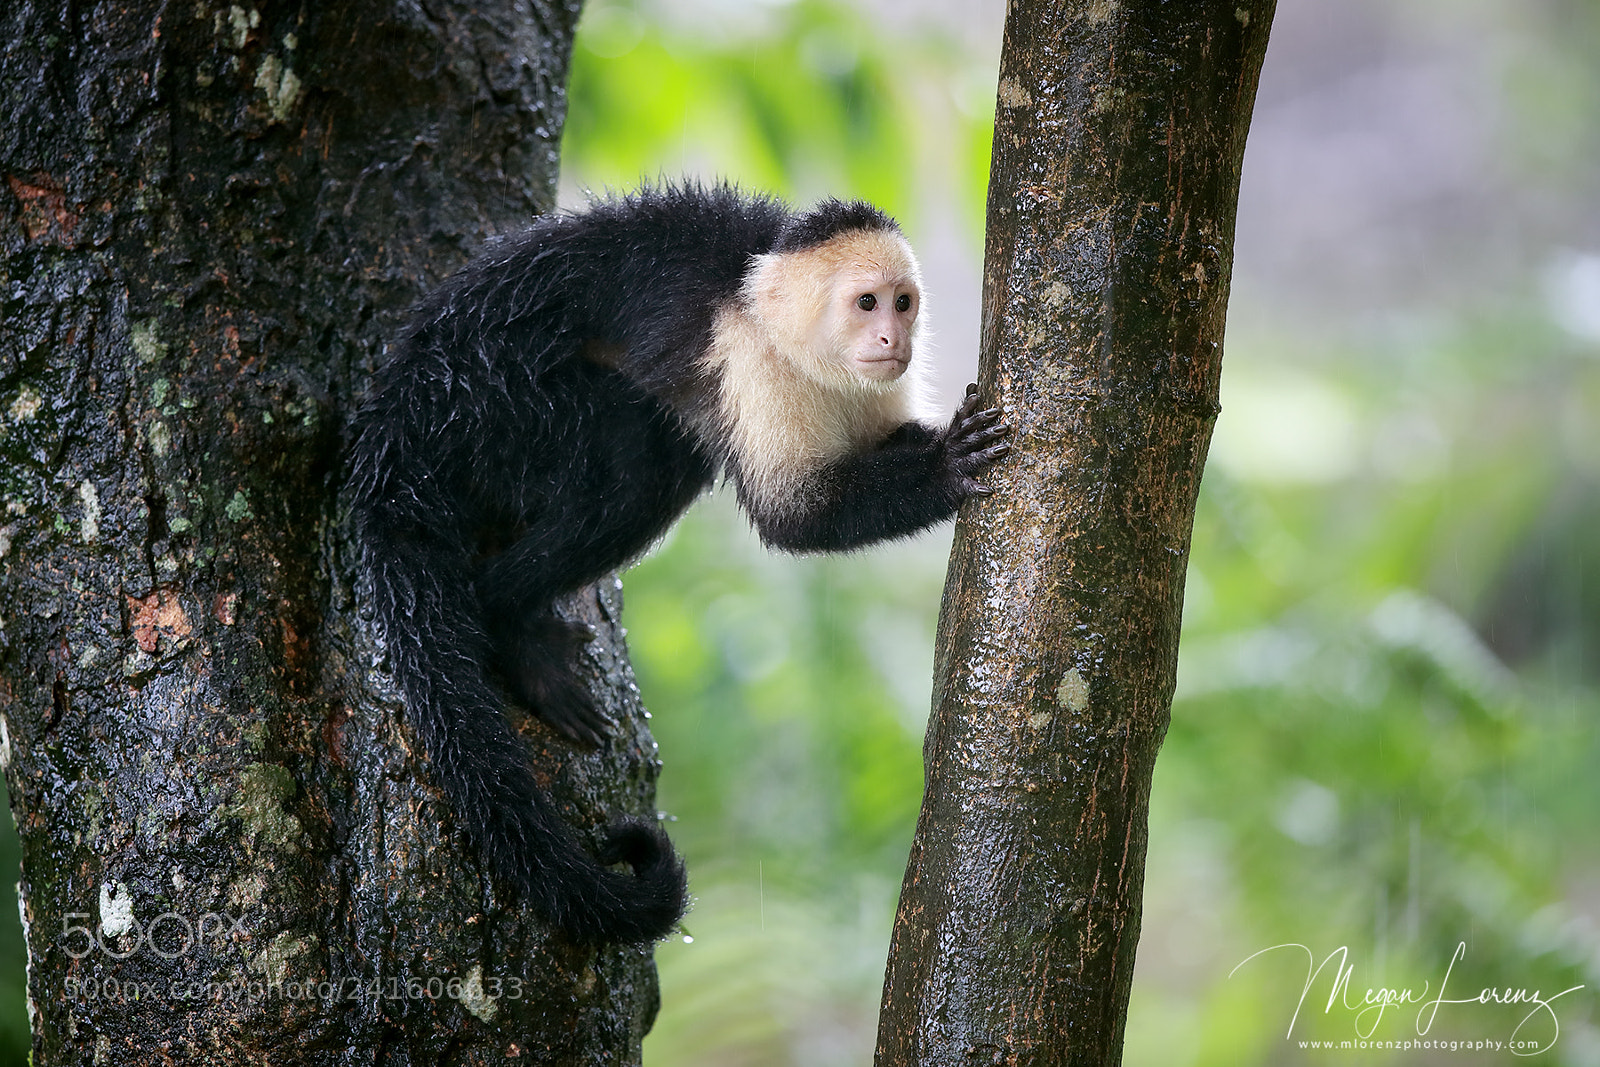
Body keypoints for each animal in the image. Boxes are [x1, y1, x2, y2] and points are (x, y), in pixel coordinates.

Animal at [347, 182, 1010, 945]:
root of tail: (396, 435)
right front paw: (945, 467)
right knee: (641, 462)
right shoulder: (745, 357)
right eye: (866, 303)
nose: (892, 340)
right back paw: (514, 623)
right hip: (488, 408)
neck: (771, 316)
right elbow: (796, 519)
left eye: (903, 303)